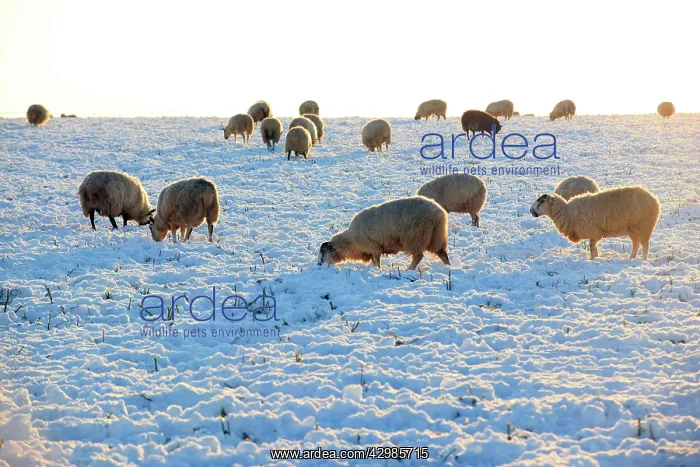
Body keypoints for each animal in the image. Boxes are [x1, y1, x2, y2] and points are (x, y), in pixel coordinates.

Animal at [317, 196, 450, 270]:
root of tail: (439, 214)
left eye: (323, 252)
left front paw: (377, 270)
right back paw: (448, 267)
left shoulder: (374, 248)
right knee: (442, 253)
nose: (319, 265)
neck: (351, 242)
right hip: (436, 237)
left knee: (418, 256)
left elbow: (376, 261)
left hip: (416, 238)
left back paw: (409, 270)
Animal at [529, 186, 660, 260]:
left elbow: (592, 248)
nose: (530, 210)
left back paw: (643, 260)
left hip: (643, 226)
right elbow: (594, 248)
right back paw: (631, 258)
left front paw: (592, 260)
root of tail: (654, 200)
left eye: (541, 201)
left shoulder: (593, 232)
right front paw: (597, 258)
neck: (566, 212)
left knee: (645, 245)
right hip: (632, 229)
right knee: (636, 244)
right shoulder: (595, 233)